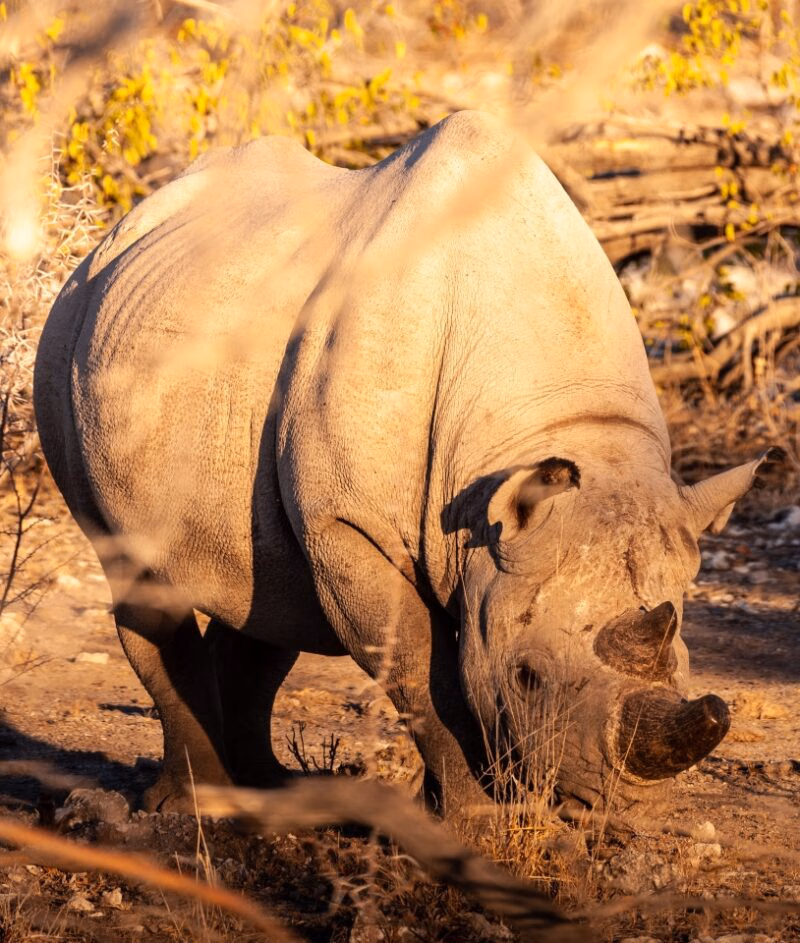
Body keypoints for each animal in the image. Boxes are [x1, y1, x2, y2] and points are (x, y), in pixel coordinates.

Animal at [34, 111, 778, 817]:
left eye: (684, 662)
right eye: (528, 676)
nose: (610, 804)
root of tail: (118, 228)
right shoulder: (350, 520)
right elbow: (421, 668)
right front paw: (478, 819)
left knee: (266, 594)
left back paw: (269, 791)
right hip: (65, 334)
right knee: (140, 574)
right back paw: (195, 805)